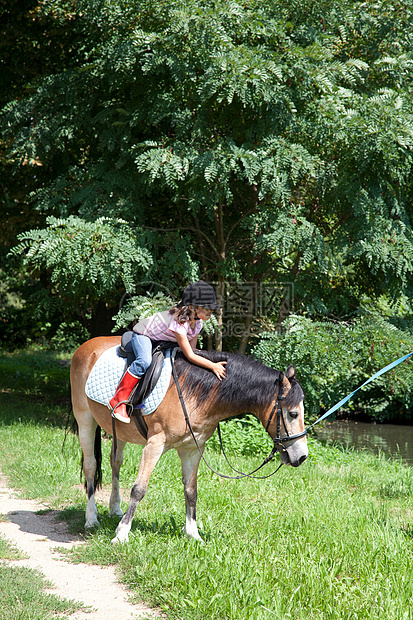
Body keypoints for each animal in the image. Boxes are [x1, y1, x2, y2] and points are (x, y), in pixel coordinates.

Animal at [70, 336, 306, 544]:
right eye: (293, 414)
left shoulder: (192, 448)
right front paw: (121, 535)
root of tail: (87, 346)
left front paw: (193, 534)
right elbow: (139, 489)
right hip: (85, 419)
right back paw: (91, 518)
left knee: (115, 463)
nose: (302, 456)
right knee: (90, 466)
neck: (194, 391)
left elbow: (191, 491)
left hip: (119, 432)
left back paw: (115, 508)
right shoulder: (154, 445)